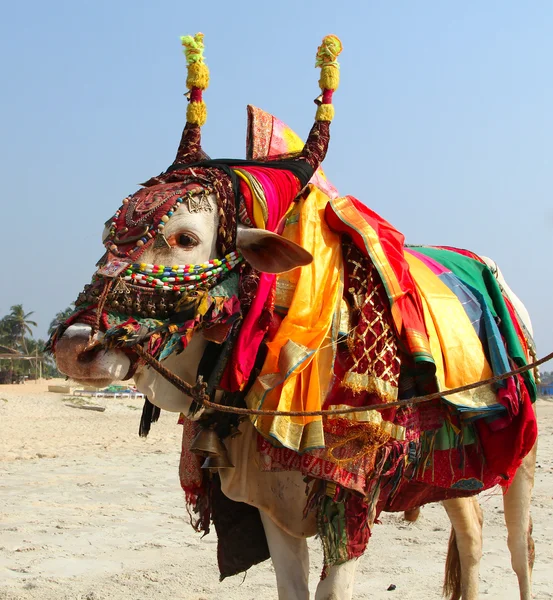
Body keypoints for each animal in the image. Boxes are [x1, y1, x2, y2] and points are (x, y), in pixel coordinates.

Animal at [50, 35, 536, 596]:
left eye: (186, 238)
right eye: (109, 234)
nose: (75, 346)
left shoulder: (349, 501)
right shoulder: (271, 509)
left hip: (520, 454)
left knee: (518, 549)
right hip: (452, 468)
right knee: (473, 534)